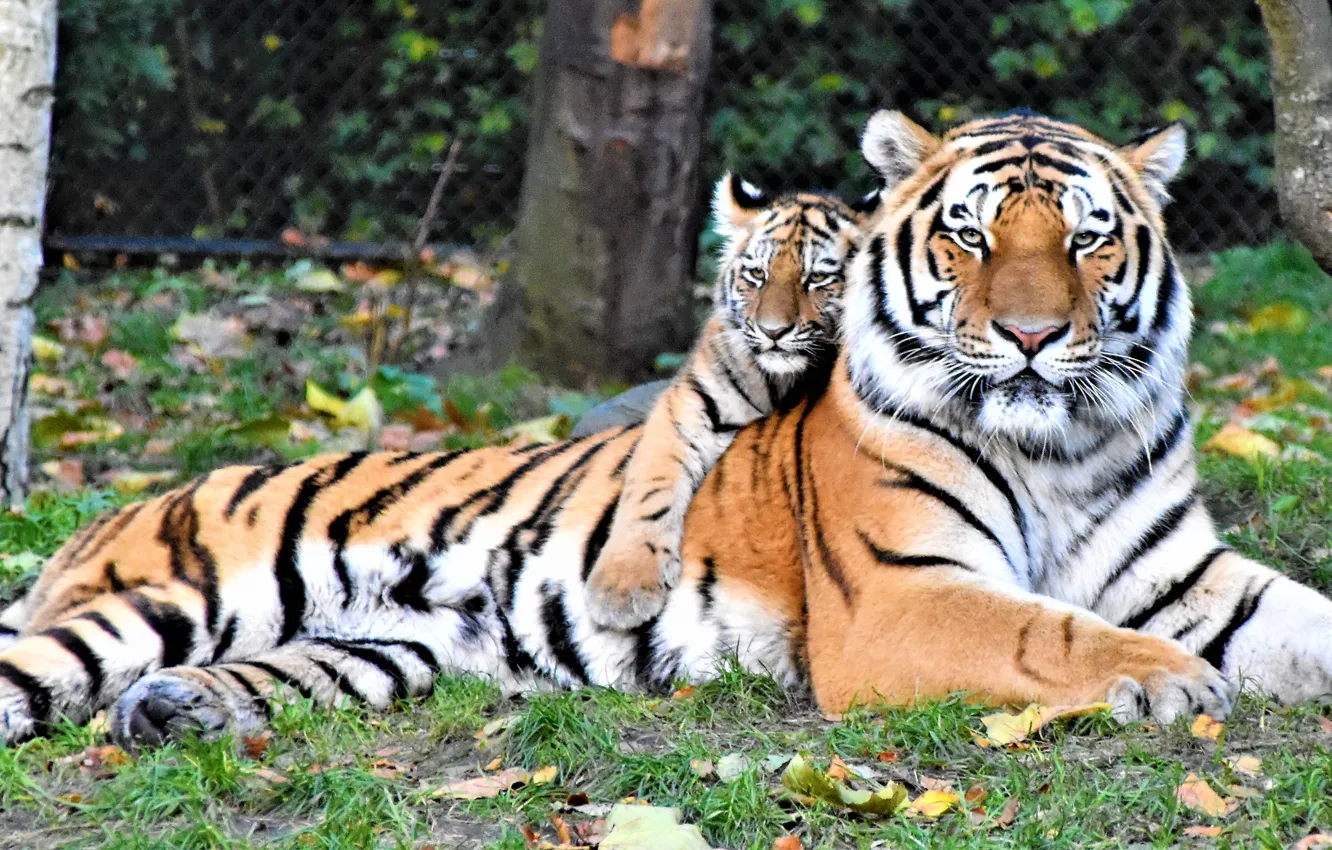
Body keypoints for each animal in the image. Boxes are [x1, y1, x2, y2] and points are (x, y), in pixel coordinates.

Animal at [582, 173, 878, 629]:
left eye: (817, 278)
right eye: (756, 274)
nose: (773, 331)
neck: (784, 378)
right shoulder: (688, 406)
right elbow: (649, 486)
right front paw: (621, 588)